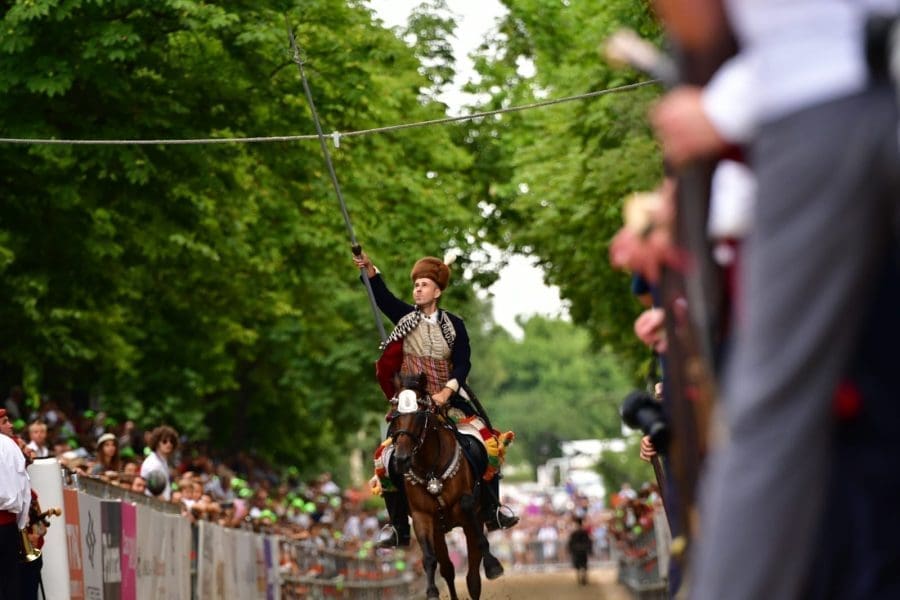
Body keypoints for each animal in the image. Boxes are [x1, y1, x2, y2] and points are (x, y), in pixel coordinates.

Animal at [388, 373, 504, 600]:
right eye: (395, 415)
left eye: (419, 415)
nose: (401, 460)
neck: (431, 469)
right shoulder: (422, 517)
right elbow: (429, 558)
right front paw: (432, 591)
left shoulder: (471, 513)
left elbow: (473, 520)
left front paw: (493, 565)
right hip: (439, 531)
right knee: (448, 570)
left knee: (473, 577)